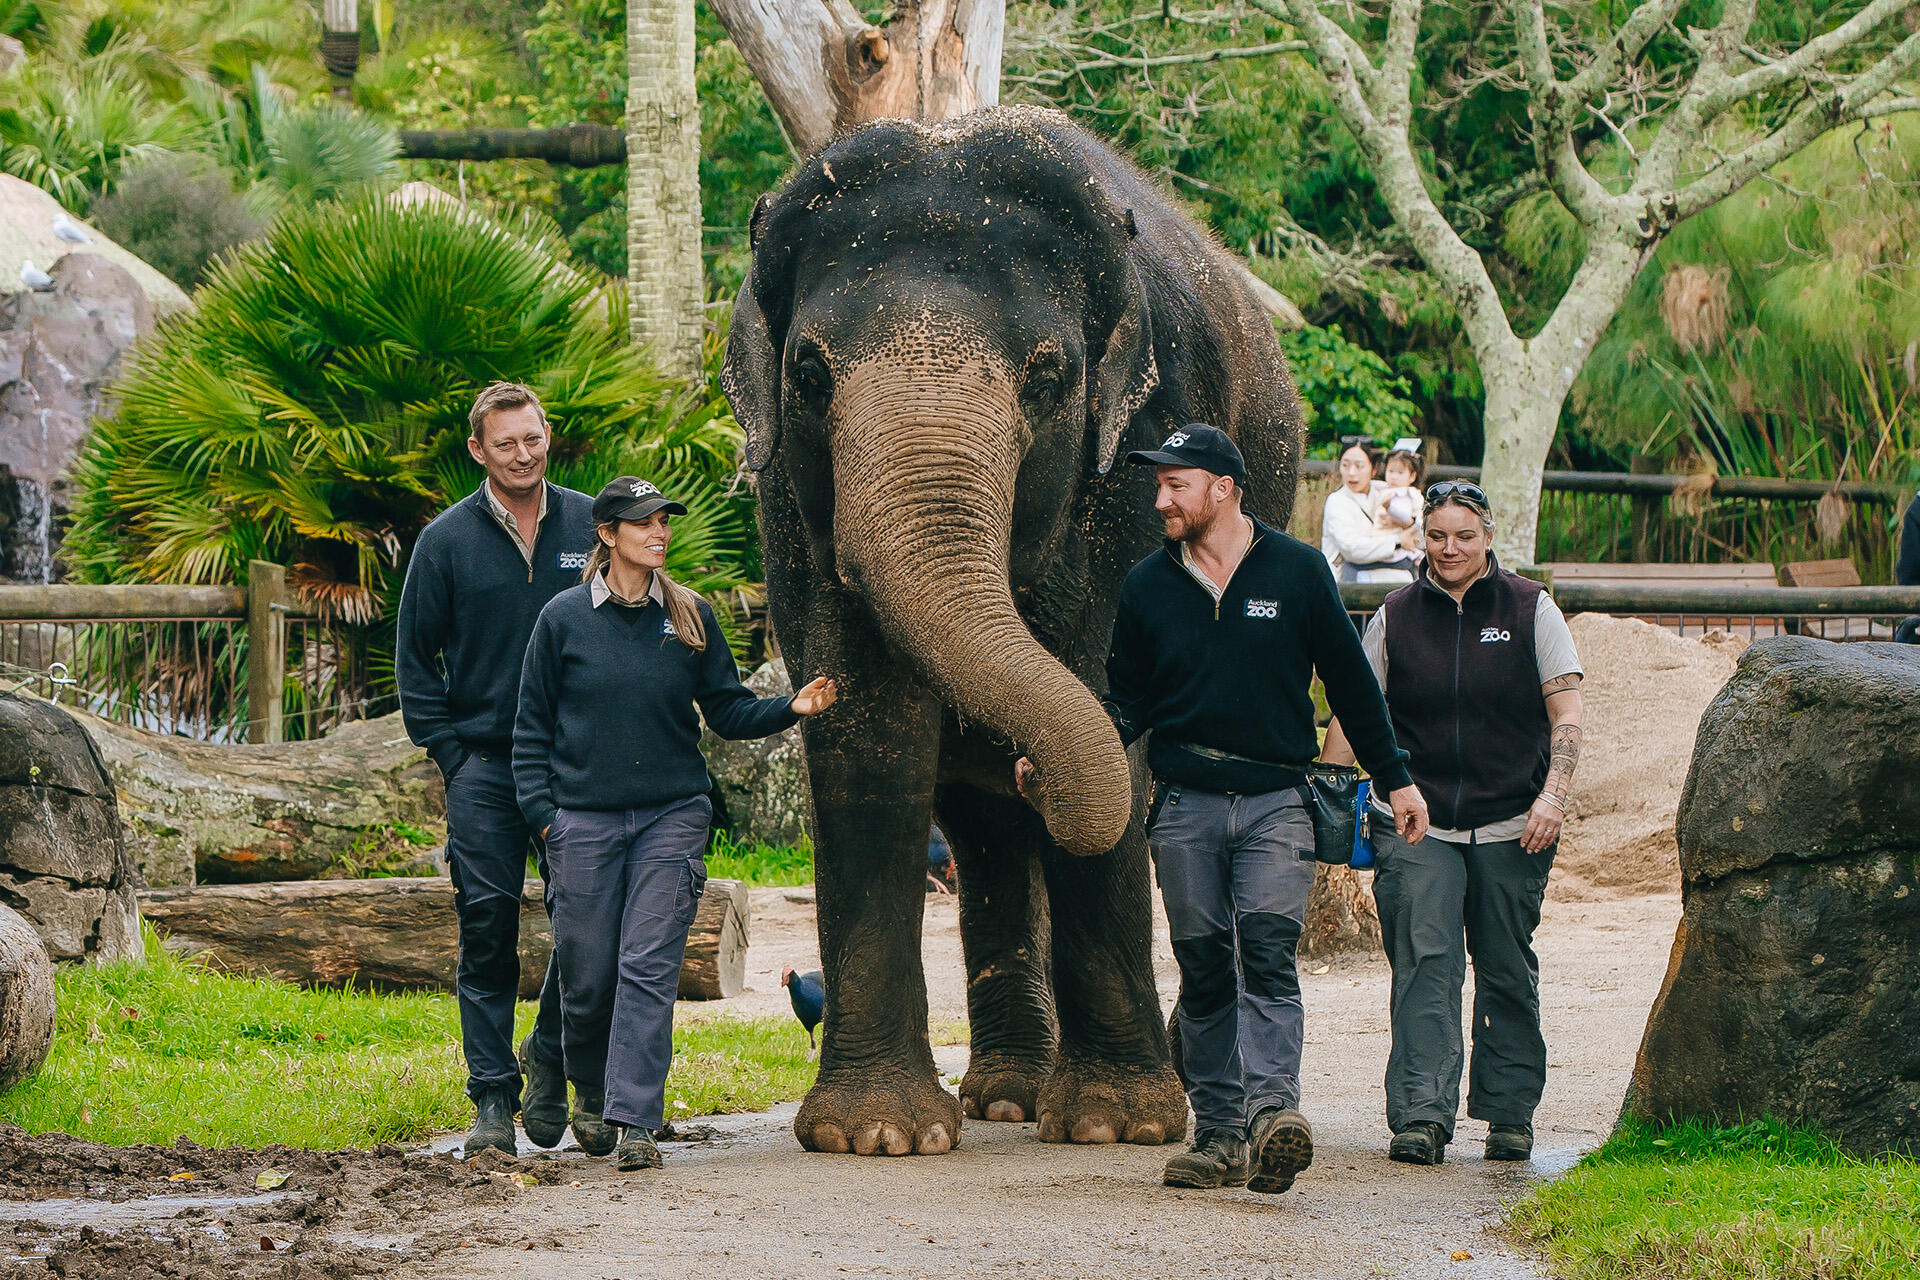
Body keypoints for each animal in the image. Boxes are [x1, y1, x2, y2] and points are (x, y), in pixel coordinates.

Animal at [721, 105, 1305, 1159]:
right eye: (809, 374)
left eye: (1049, 375)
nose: (1027, 760)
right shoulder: (785, 488)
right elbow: (872, 736)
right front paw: (877, 1137)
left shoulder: (1146, 443)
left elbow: (1110, 703)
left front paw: (1118, 1126)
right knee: (988, 835)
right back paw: (1004, 1100)